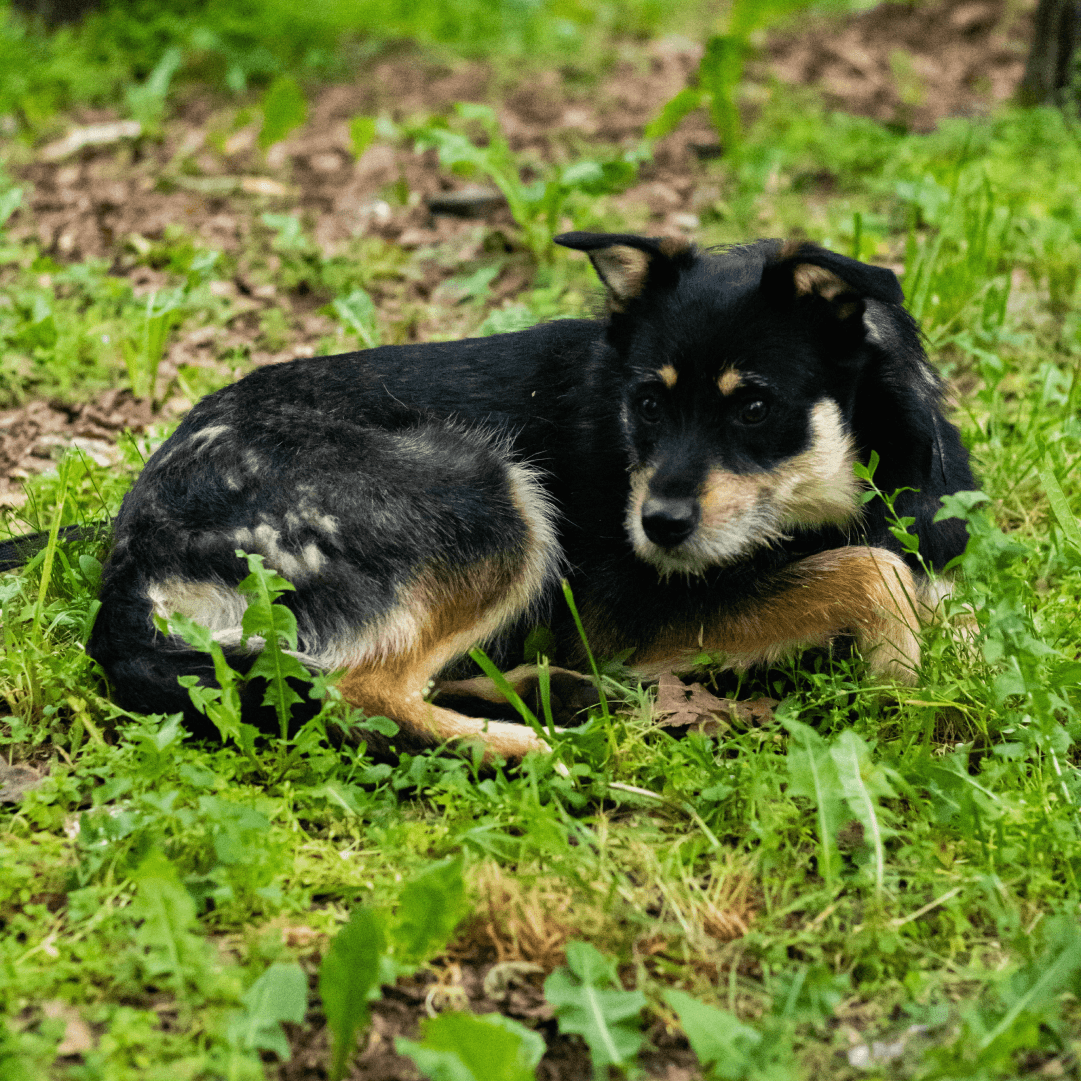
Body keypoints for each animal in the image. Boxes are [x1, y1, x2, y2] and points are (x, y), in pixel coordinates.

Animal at [78, 234, 972, 761]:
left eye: (753, 406)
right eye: (645, 402)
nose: (654, 527)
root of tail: (129, 569)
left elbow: (931, 596)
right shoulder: (631, 610)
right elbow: (872, 572)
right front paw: (901, 689)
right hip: (494, 498)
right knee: (355, 694)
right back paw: (536, 745)